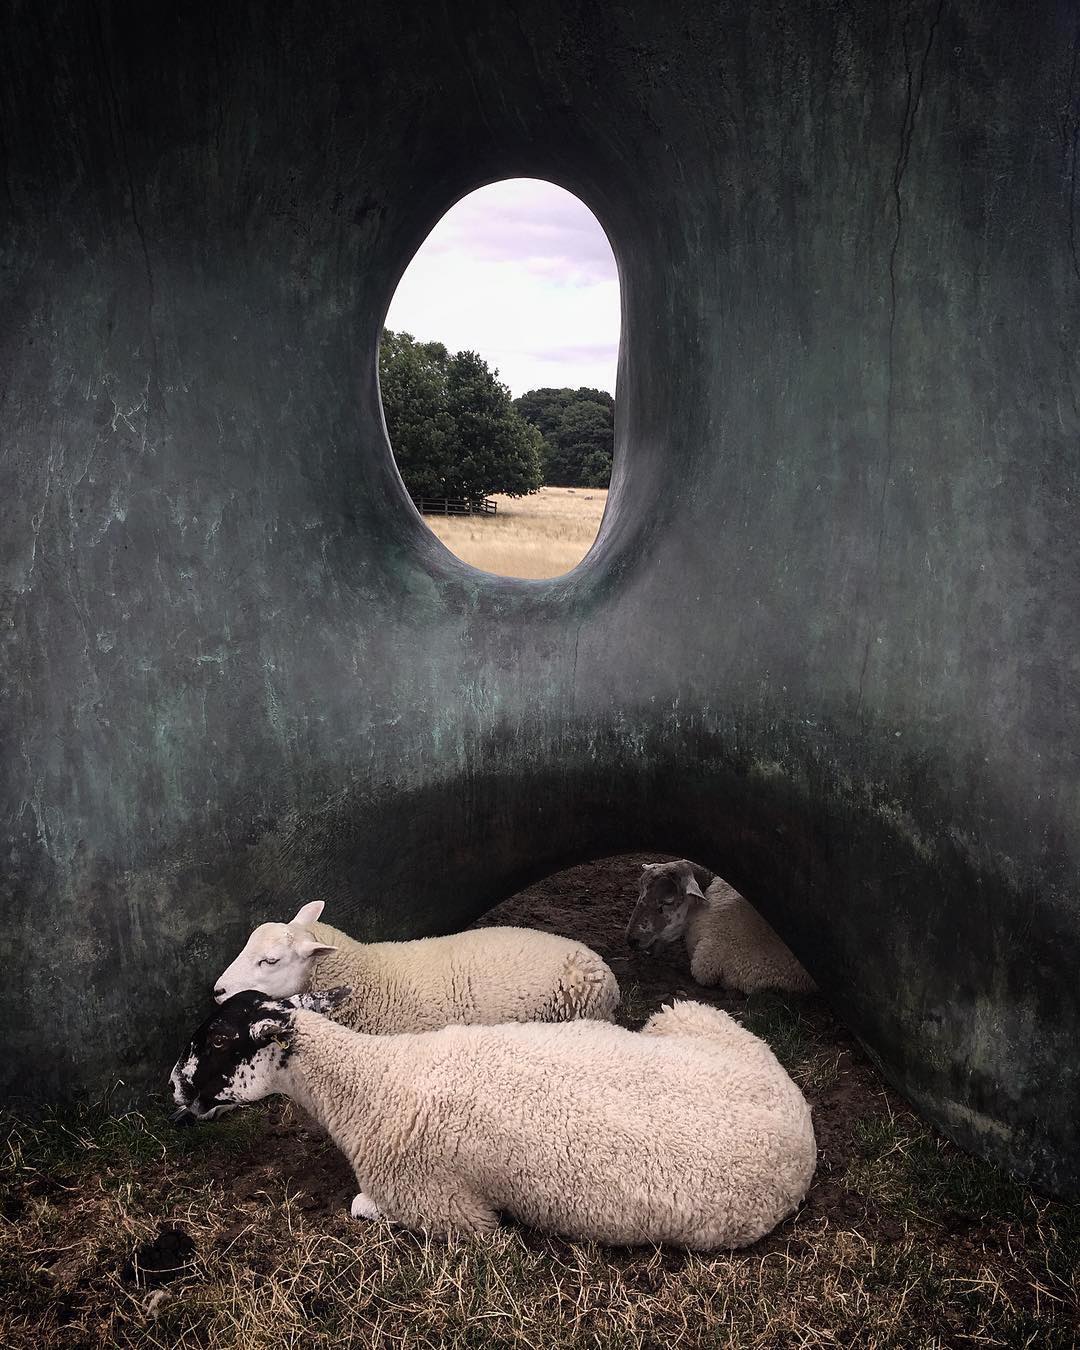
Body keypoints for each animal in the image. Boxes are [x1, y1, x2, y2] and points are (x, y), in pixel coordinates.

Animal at [169, 987, 816, 1250]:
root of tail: (800, 1118)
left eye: (221, 1038)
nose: (172, 1088)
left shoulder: (444, 1208)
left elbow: (360, 1207)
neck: (377, 1081)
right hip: (687, 1018)